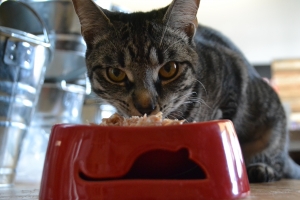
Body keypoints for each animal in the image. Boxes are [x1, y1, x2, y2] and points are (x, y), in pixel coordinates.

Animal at [71, 0, 300, 182]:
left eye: (169, 69)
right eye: (116, 73)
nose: (146, 106)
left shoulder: (232, 77)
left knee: (278, 161)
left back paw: (263, 169)